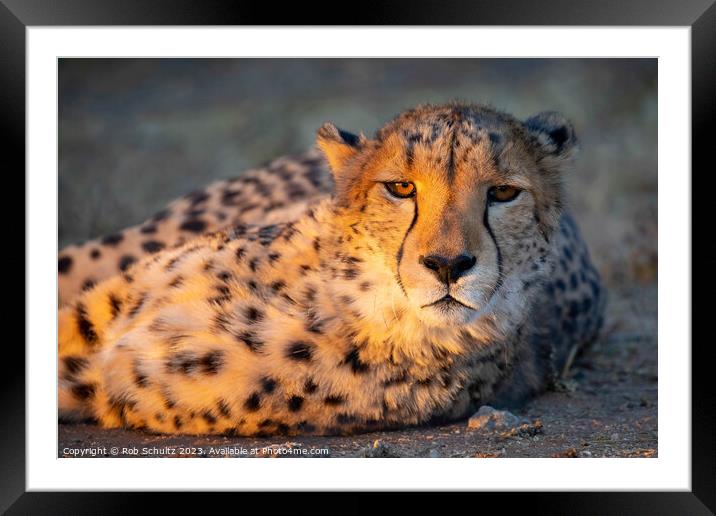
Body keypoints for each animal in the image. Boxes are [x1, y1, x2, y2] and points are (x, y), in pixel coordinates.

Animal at [57, 102, 604, 436]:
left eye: (504, 192)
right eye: (401, 188)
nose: (448, 265)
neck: (339, 296)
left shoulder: (107, 381)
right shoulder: (103, 312)